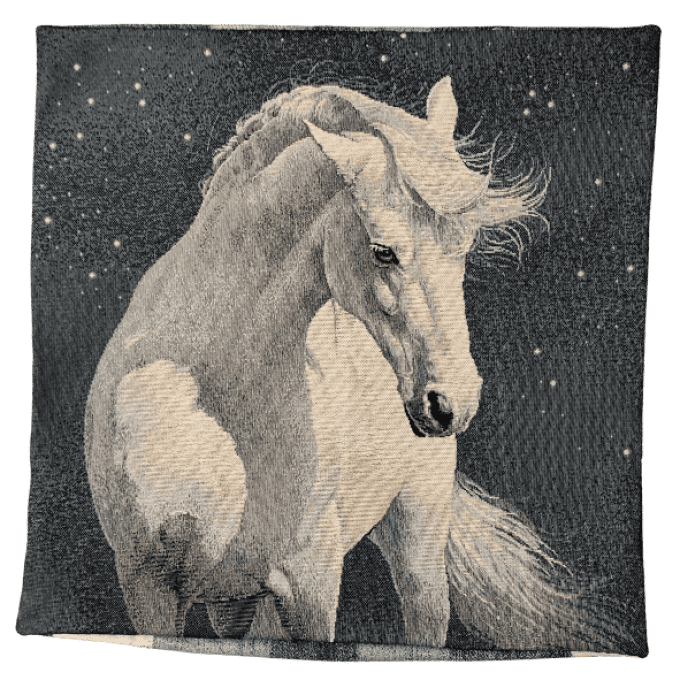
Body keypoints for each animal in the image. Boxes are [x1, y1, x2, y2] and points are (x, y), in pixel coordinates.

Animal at [84, 77, 625, 651]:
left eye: (463, 248)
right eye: (383, 250)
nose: (451, 402)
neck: (211, 394)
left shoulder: (309, 582)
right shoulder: (148, 585)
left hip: (415, 533)